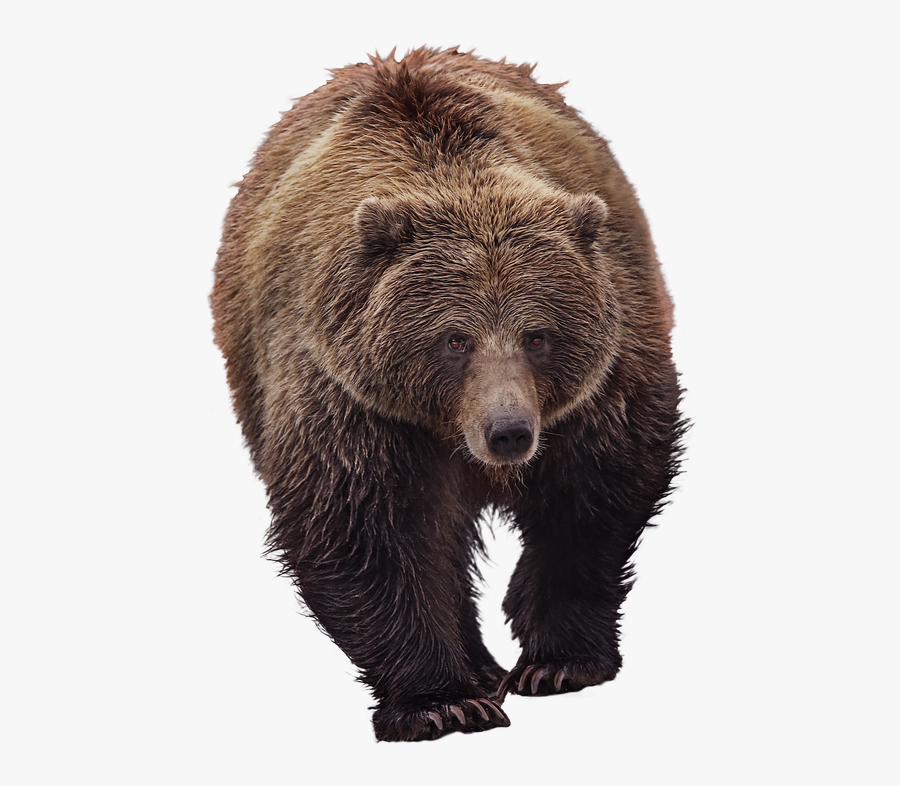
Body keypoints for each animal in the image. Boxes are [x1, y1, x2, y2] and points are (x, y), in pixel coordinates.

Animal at [212, 47, 684, 742]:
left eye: (537, 335)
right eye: (455, 339)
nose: (508, 431)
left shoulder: (602, 382)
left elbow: (594, 497)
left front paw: (558, 661)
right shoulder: (351, 398)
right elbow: (363, 531)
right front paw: (442, 701)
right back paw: (479, 668)